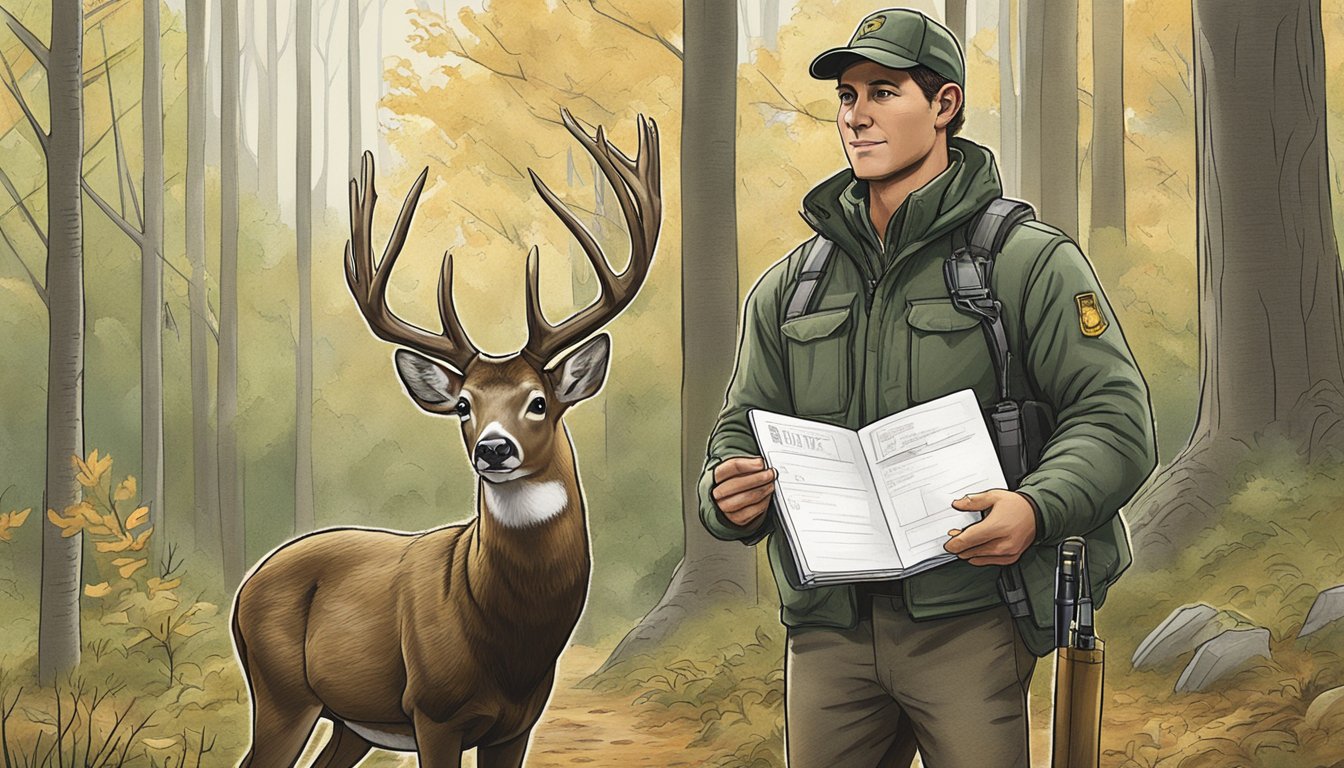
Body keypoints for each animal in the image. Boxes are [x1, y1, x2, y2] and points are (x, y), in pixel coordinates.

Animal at [233, 109, 663, 768]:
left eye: (539, 402)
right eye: (464, 405)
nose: (493, 448)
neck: (510, 640)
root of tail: (245, 586)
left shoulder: (518, 724)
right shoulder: (434, 711)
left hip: (351, 722)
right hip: (282, 690)